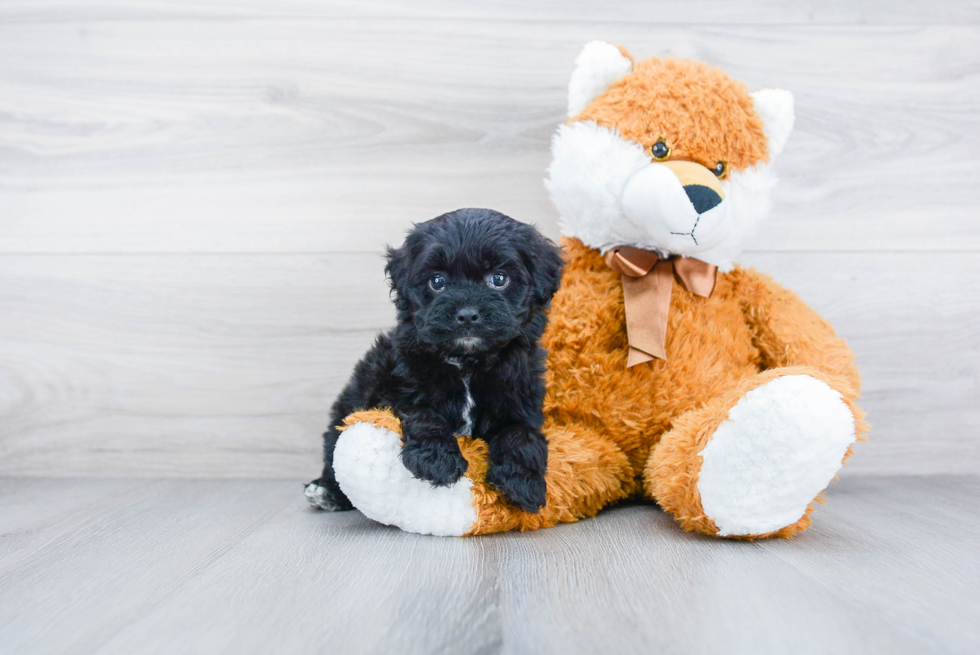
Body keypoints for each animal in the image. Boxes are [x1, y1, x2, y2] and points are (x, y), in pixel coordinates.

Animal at [306, 208, 568, 516]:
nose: (467, 314)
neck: (467, 363)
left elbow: (521, 434)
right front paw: (437, 460)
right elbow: (422, 413)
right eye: (438, 282)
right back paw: (326, 492)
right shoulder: (395, 388)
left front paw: (522, 481)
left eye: (499, 279)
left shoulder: (521, 400)